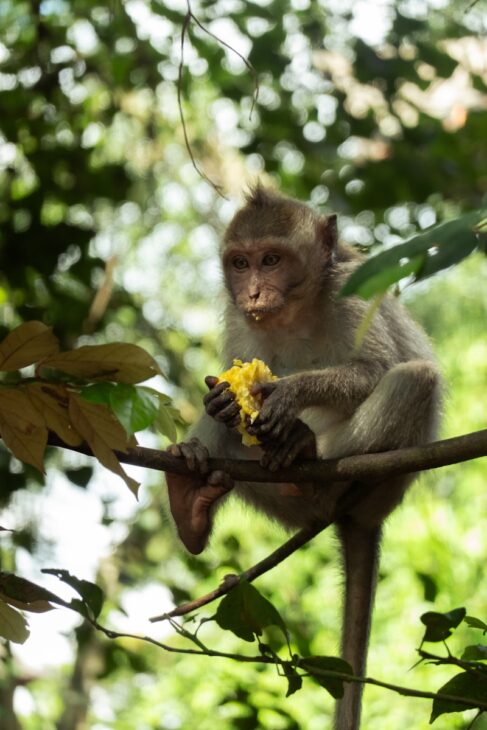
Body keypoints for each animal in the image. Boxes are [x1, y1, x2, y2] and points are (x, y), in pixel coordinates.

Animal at [165, 185, 442, 730]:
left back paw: (308, 460)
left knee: (414, 378)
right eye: (241, 263)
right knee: (230, 446)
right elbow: (225, 390)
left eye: (271, 260)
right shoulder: (239, 323)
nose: (252, 293)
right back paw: (191, 500)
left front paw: (288, 394)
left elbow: (375, 367)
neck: (296, 309)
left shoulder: (353, 292)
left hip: (379, 482)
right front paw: (222, 402)